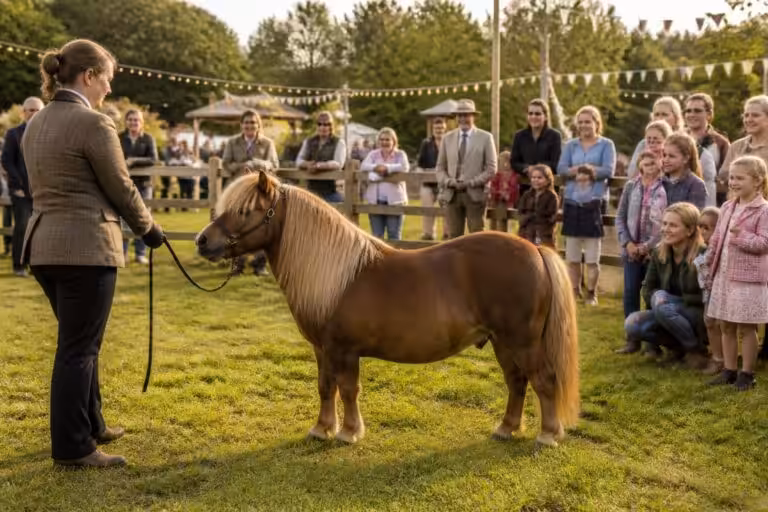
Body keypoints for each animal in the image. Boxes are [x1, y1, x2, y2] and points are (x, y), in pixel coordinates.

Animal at [195, 172, 580, 447]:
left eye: (245, 211)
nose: (202, 241)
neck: (336, 273)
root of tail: (535, 249)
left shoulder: (345, 351)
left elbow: (348, 389)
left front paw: (348, 433)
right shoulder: (323, 349)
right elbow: (325, 387)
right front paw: (321, 429)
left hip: (522, 342)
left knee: (543, 380)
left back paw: (548, 435)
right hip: (502, 342)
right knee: (517, 382)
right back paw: (506, 429)